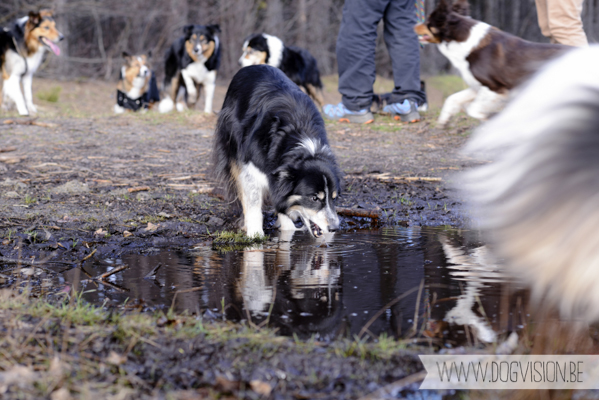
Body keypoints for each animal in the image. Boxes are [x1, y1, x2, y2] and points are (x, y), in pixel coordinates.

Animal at [213, 63, 340, 236]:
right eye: (314, 198)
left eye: (334, 198)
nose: (334, 228)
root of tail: (252, 66)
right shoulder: (251, 163)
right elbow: (252, 198)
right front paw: (255, 235)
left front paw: (287, 229)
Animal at [418, 0, 572, 126]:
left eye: (428, 21)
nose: (414, 25)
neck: (462, 39)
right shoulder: (478, 86)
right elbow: (452, 98)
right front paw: (444, 120)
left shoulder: (495, 88)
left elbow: (473, 109)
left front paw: (487, 119)